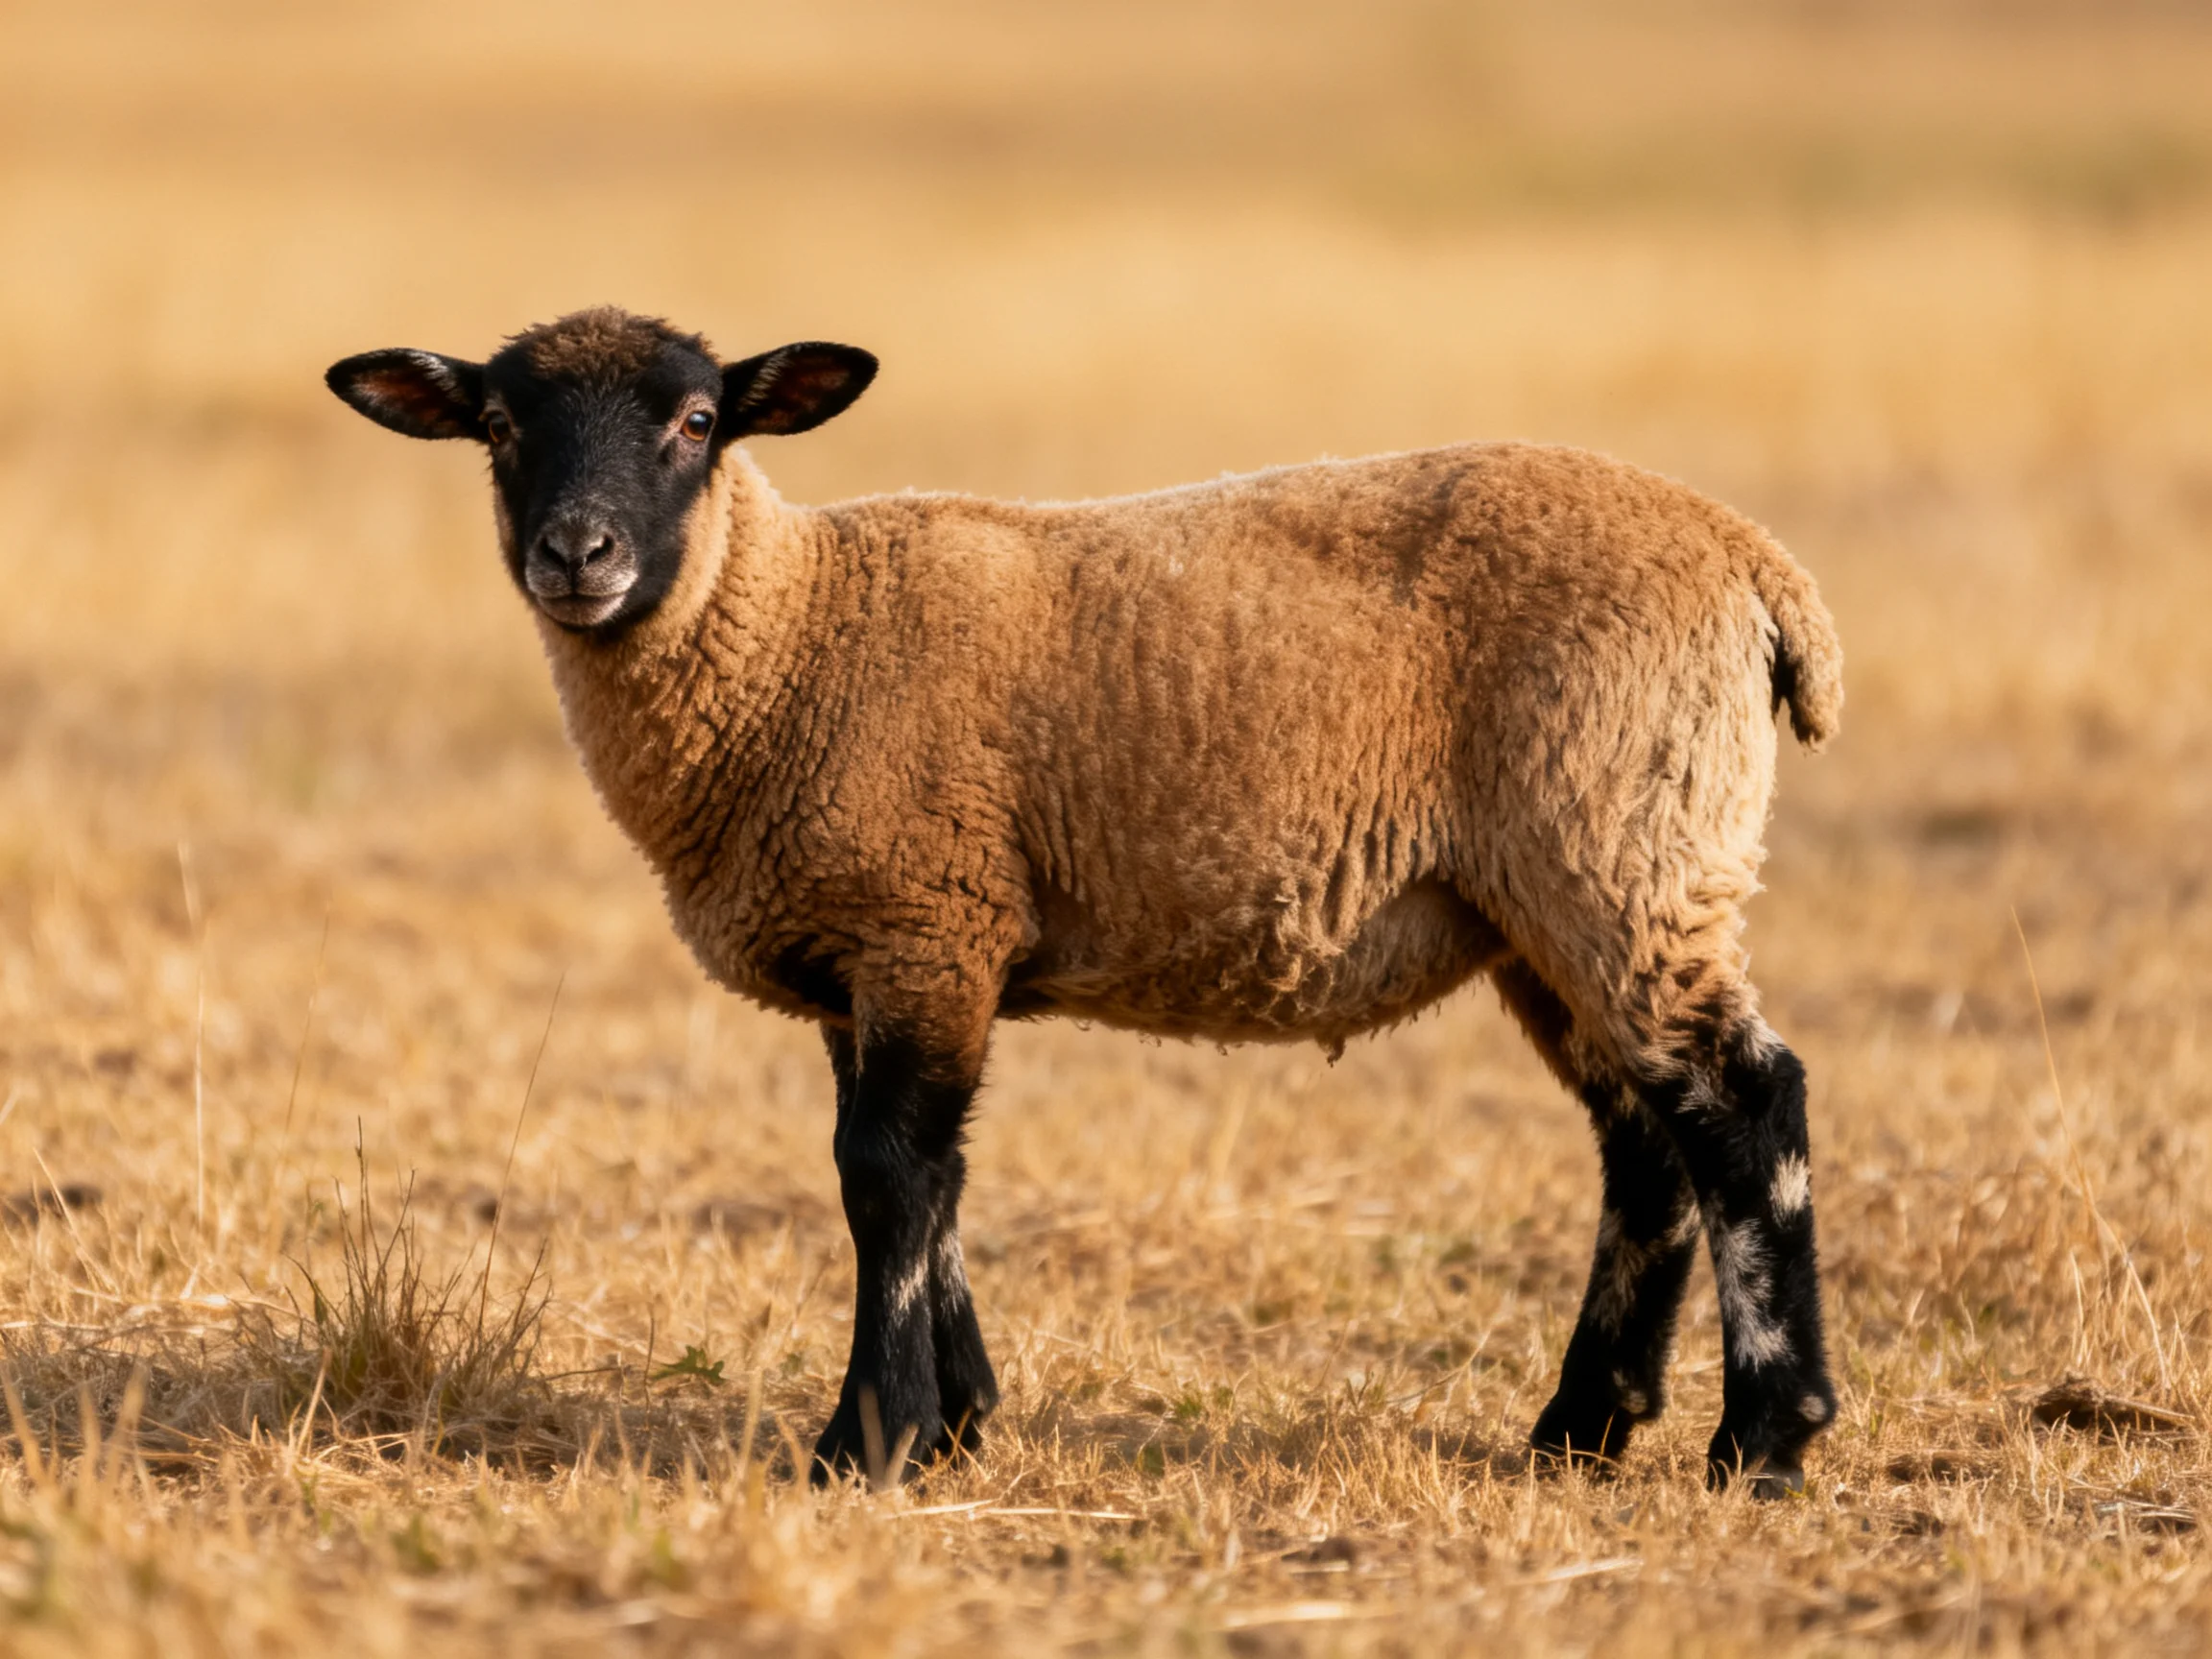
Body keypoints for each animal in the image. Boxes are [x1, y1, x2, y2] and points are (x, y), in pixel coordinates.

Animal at [326, 306, 1844, 1495]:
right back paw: (1584, 1429)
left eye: (699, 421)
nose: (577, 556)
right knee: (1646, 1142)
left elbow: (886, 1178)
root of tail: (1755, 567)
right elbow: (917, 1185)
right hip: (1554, 898)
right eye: (498, 429)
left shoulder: (928, 917)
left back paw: (1766, 1439)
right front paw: (957, 1421)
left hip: (1621, 845)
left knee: (1745, 1106)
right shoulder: (886, 948)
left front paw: (869, 1446)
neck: (794, 633)